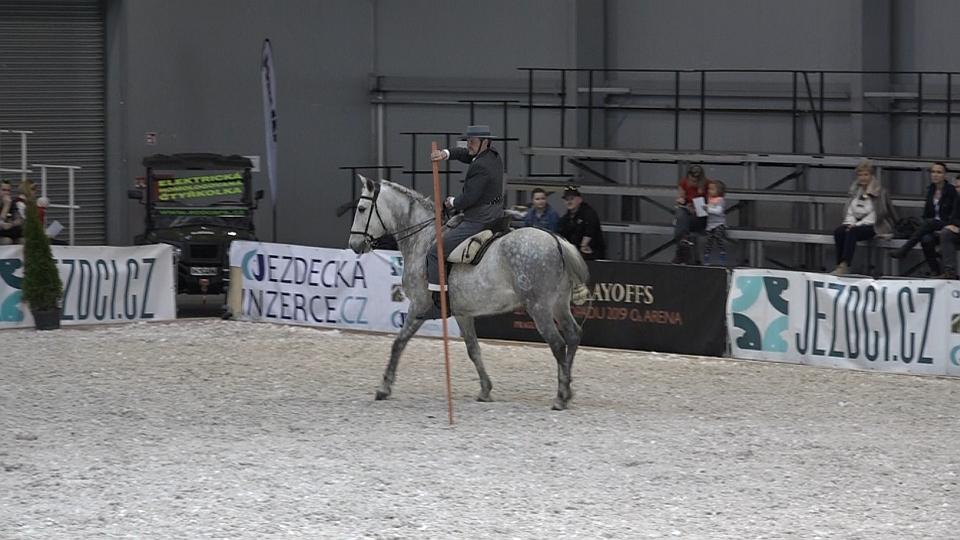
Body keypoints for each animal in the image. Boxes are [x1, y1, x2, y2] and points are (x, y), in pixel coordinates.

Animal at [347, 175, 590, 410]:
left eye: (361, 208)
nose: (354, 244)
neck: (424, 239)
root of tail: (555, 240)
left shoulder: (419, 306)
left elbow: (398, 343)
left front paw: (384, 388)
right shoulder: (462, 314)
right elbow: (473, 349)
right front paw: (485, 390)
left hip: (539, 307)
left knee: (557, 343)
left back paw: (561, 396)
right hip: (558, 304)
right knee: (573, 335)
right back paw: (568, 389)